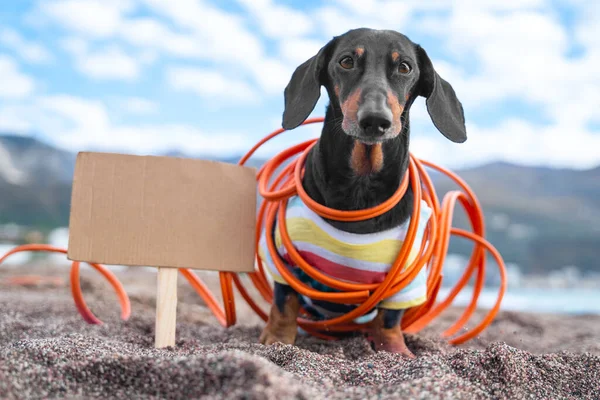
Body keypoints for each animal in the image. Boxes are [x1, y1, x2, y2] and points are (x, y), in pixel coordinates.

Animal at [256, 28, 464, 360]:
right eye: (346, 61)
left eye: (405, 67)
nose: (375, 121)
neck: (361, 186)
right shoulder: (284, 257)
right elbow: (284, 302)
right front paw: (276, 341)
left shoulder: (406, 278)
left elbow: (389, 318)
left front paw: (393, 350)